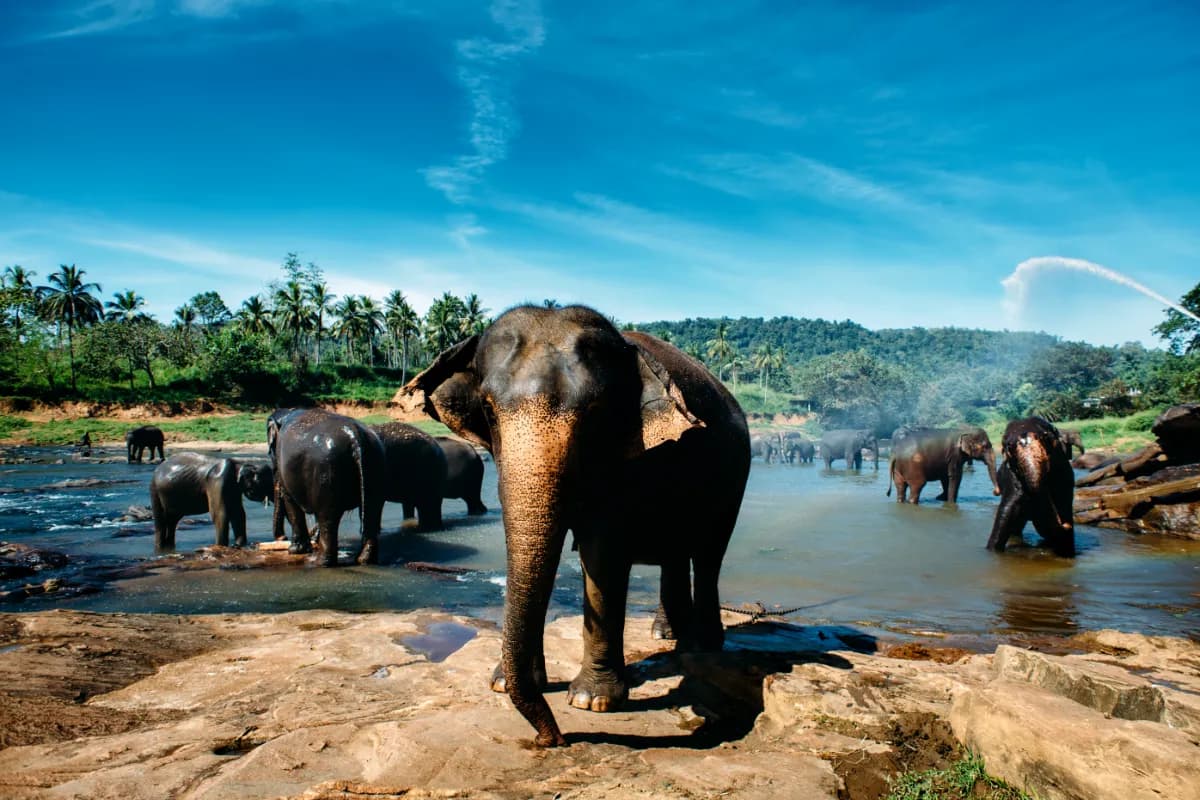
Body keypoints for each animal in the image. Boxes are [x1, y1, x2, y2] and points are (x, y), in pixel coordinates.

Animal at [270, 408, 386, 566]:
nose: (282, 538)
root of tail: (354, 436)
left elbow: (290, 501)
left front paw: (294, 551)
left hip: (326, 473)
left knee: (327, 516)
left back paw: (320, 562)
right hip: (375, 464)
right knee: (371, 511)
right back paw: (364, 560)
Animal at [396, 304, 751, 748]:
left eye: (595, 414)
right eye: (490, 411)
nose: (553, 739)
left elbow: (603, 555)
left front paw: (591, 701)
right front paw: (502, 682)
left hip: (734, 481)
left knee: (708, 554)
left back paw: (703, 643)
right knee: (674, 554)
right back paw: (665, 634)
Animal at [987, 417, 1076, 557]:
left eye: (1046, 437)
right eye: (1008, 446)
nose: (1065, 525)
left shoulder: (1065, 476)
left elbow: (1064, 508)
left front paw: (1066, 554)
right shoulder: (1011, 476)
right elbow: (1007, 511)